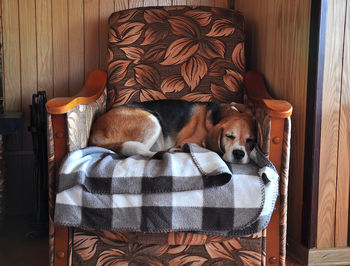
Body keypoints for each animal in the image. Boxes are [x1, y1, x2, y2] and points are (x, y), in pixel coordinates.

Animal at [89, 99, 256, 163]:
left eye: (250, 140)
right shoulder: (189, 141)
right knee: (140, 152)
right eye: (229, 136)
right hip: (153, 121)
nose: (239, 154)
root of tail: (95, 131)